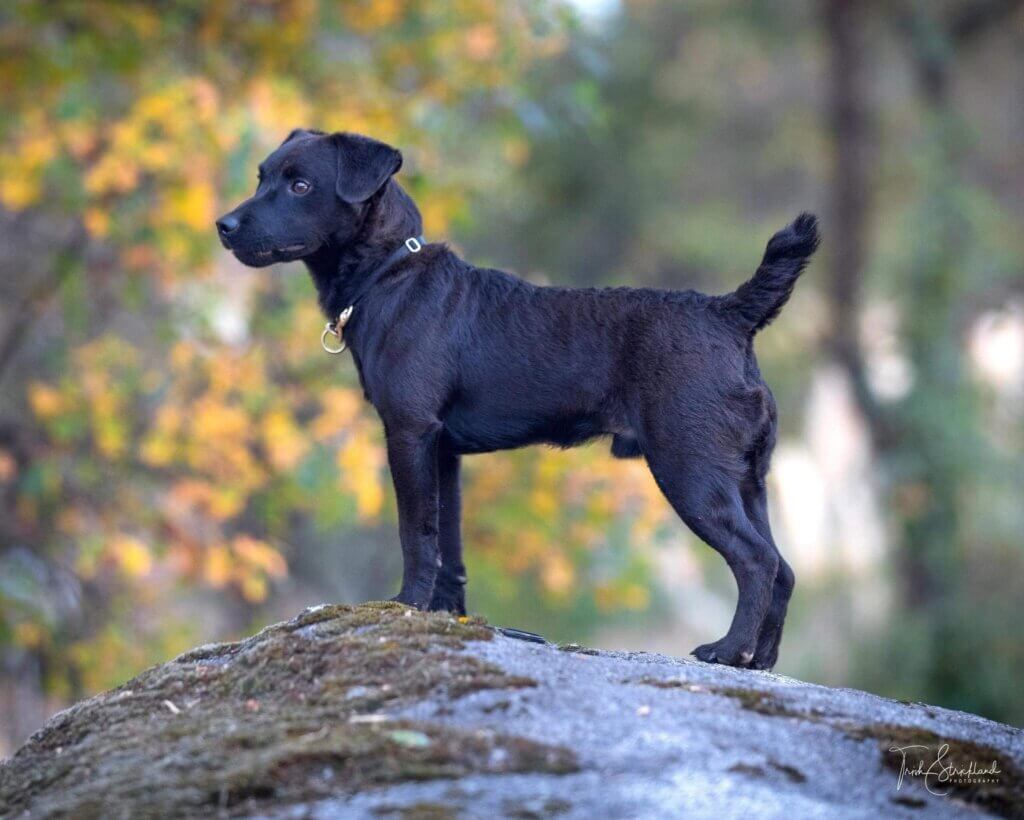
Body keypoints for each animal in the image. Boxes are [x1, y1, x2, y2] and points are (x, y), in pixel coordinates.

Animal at [216, 126, 815, 663]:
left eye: (300, 185)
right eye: (262, 176)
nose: (223, 225)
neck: (390, 274)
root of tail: (729, 313)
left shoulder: (409, 433)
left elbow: (417, 532)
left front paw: (405, 605)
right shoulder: (443, 451)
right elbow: (449, 544)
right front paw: (446, 614)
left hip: (690, 468)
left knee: (756, 561)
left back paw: (728, 651)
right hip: (747, 479)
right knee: (783, 568)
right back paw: (760, 660)